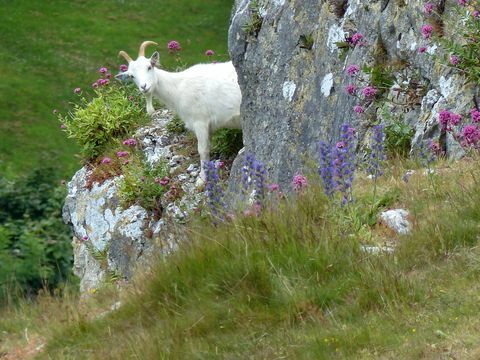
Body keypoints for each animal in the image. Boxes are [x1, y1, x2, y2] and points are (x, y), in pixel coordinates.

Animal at [116, 40, 242, 184]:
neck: (177, 88)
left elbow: (202, 150)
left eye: (149, 67)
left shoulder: (200, 121)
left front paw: (202, 179)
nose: (144, 87)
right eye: (131, 76)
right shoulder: (208, 126)